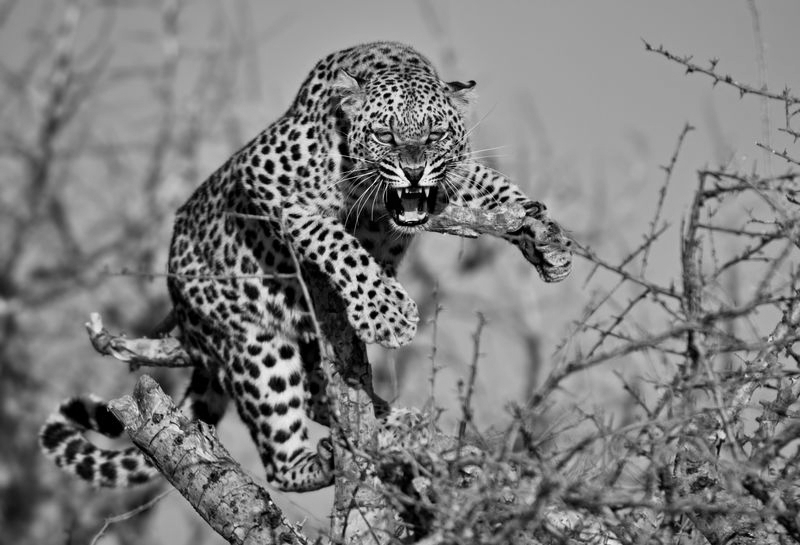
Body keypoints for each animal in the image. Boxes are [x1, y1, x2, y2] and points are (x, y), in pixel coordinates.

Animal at [39, 41, 572, 493]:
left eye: (435, 133)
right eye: (385, 134)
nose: (414, 170)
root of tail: (181, 310)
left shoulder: (459, 175)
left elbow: (502, 191)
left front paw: (549, 243)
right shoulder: (267, 180)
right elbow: (335, 241)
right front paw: (387, 314)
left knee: (319, 398)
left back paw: (392, 422)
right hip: (255, 345)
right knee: (280, 458)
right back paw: (332, 456)